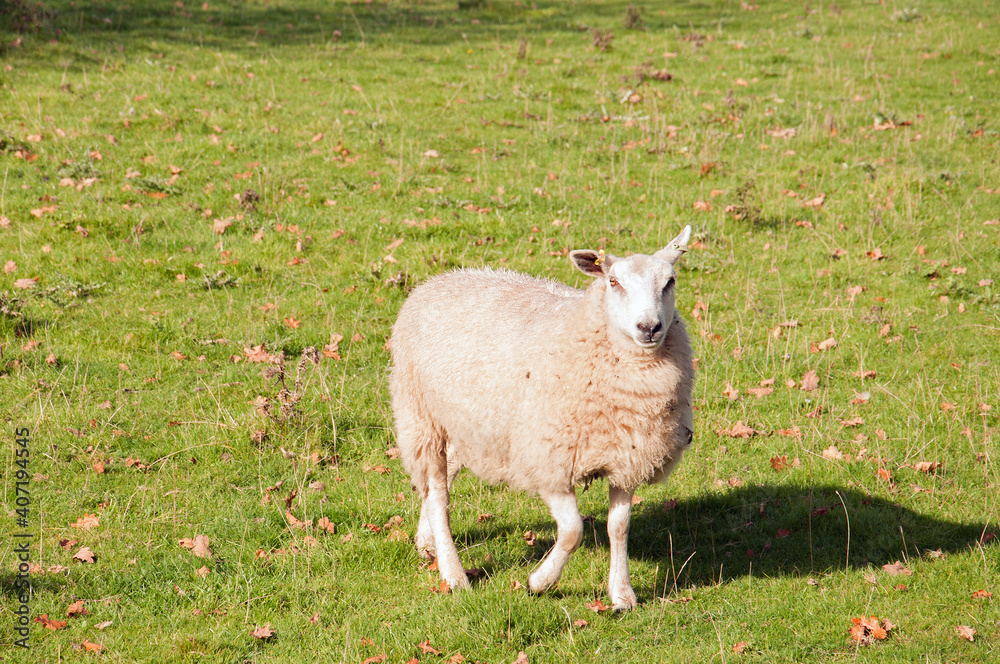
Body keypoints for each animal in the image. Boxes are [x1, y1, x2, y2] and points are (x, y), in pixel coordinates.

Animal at [388, 225, 695, 611]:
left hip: (470, 422)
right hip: (420, 416)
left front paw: (622, 594)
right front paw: (539, 582)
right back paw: (454, 574)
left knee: (443, 478)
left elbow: (619, 528)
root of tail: (442, 278)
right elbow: (574, 530)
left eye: (670, 281)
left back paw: (426, 542)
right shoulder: (548, 461)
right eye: (613, 281)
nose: (649, 327)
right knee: (437, 494)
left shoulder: (627, 459)